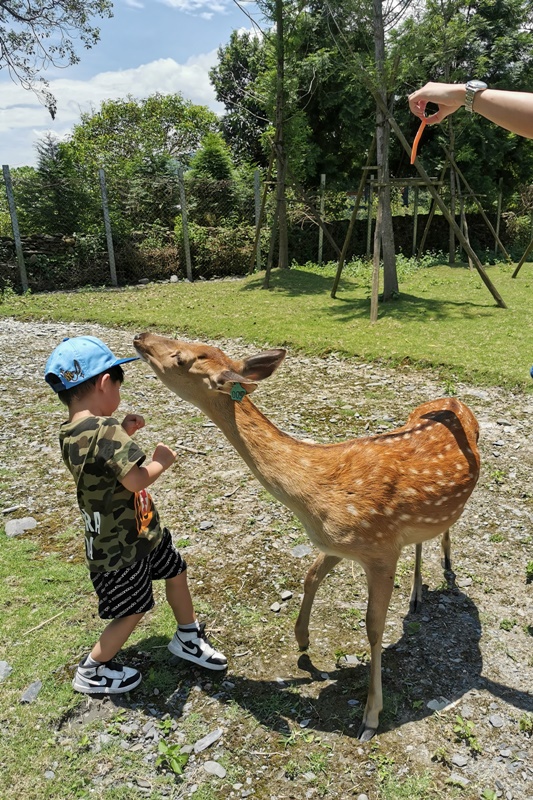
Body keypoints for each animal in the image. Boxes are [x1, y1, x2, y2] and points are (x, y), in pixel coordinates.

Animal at [132, 330, 478, 736]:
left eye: (181, 357)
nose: (141, 335)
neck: (315, 491)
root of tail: (454, 399)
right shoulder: (339, 544)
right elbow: (311, 576)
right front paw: (302, 641)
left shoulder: (380, 548)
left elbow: (373, 627)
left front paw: (370, 716)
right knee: (424, 539)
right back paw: (417, 594)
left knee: (446, 530)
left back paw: (445, 571)